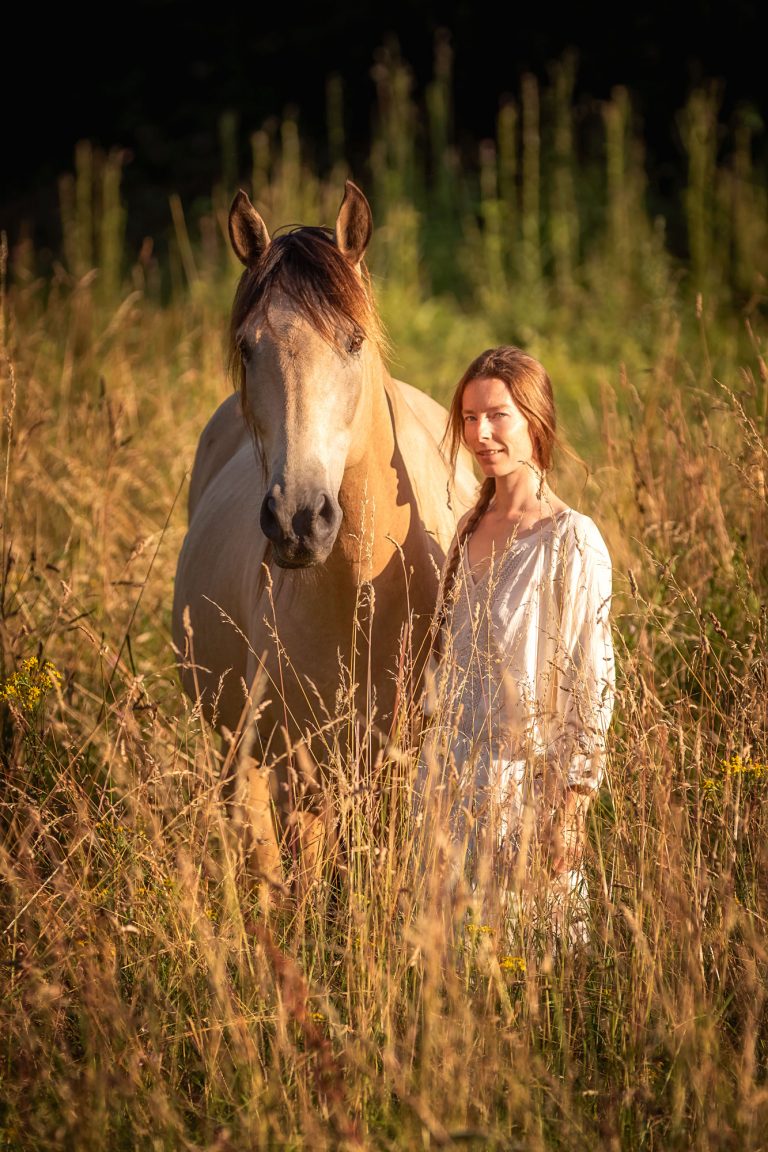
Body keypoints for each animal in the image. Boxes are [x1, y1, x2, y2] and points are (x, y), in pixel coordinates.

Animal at [172, 180, 476, 896]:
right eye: (247, 346)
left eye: (354, 340)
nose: (298, 520)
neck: (365, 597)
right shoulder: (295, 772)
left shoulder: (399, 766)